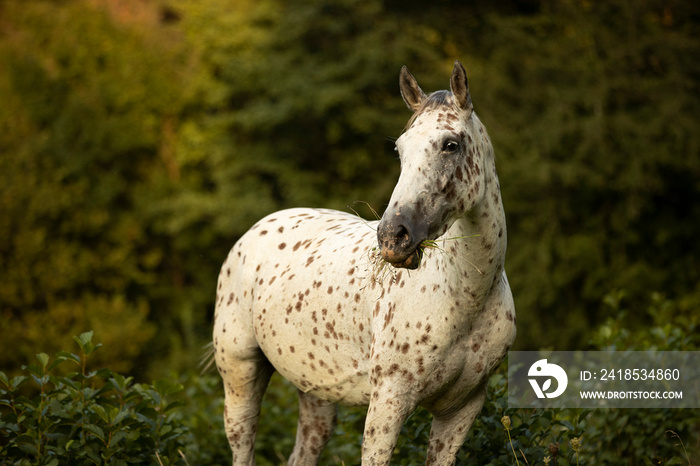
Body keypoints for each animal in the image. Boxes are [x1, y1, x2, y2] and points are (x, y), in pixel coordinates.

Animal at [213, 62, 516, 466]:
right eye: (400, 150)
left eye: (450, 144)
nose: (393, 236)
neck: (465, 297)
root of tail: (255, 230)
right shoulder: (388, 403)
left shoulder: (461, 411)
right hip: (240, 374)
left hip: (316, 393)